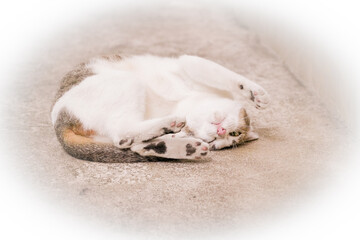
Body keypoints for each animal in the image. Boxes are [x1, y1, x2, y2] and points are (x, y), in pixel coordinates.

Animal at [51, 54, 270, 163]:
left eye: (221, 141)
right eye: (235, 133)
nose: (221, 132)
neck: (187, 102)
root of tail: (59, 120)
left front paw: (179, 138)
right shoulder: (189, 64)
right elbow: (226, 75)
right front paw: (256, 94)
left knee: (129, 142)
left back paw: (181, 145)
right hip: (127, 81)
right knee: (123, 133)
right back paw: (172, 126)